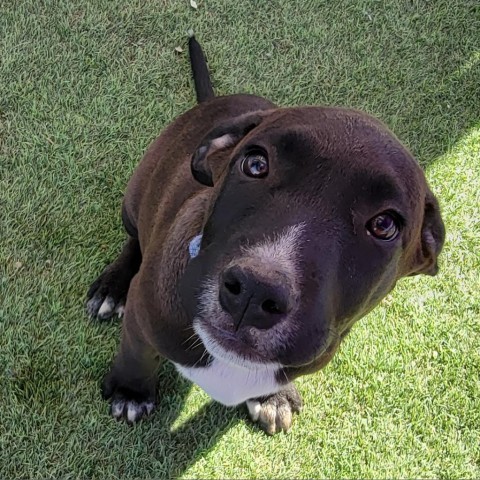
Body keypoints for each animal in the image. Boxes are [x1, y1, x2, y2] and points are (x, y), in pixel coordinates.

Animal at [85, 36, 442, 436]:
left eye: (384, 225)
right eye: (255, 164)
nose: (254, 291)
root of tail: (212, 102)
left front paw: (274, 397)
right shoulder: (142, 315)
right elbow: (136, 354)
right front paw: (130, 391)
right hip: (136, 195)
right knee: (135, 237)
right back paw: (111, 287)